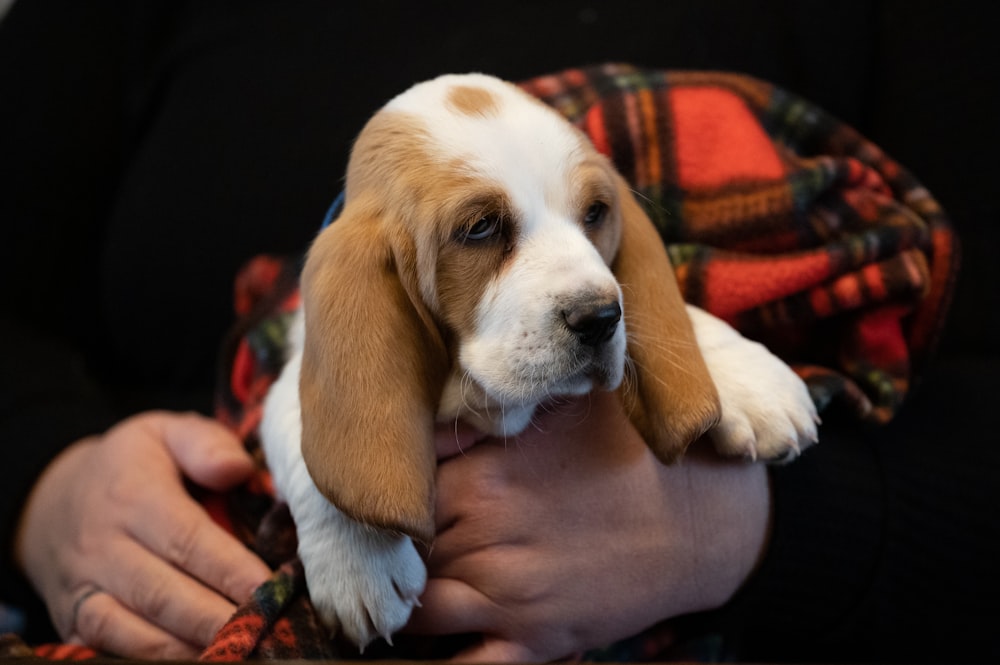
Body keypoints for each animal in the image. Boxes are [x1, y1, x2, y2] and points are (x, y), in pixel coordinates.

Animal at [260, 74, 820, 648]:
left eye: (595, 213)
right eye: (481, 228)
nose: (600, 318)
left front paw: (749, 377)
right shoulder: (291, 374)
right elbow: (303, 435)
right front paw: (359, 561)